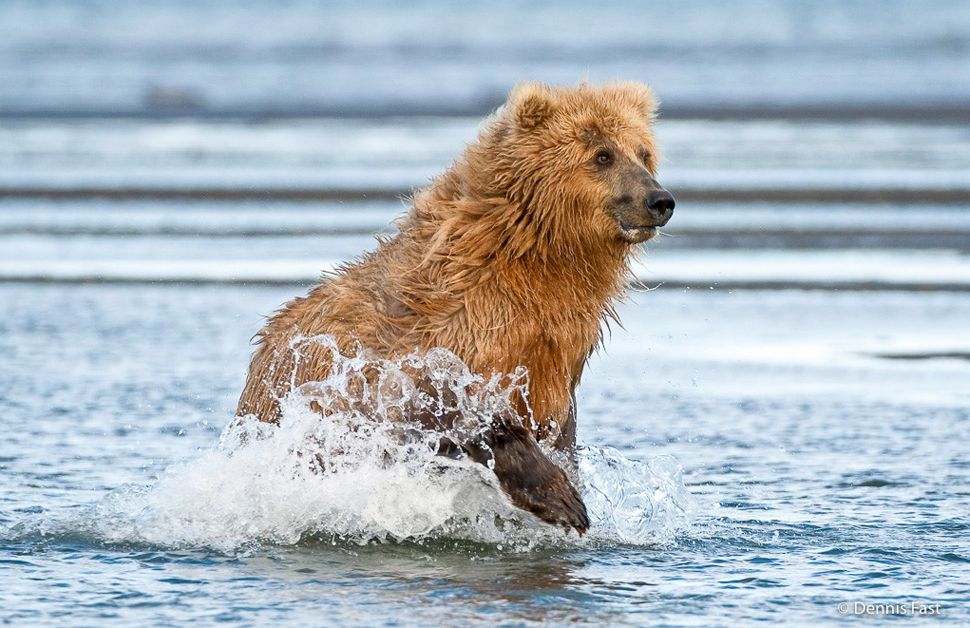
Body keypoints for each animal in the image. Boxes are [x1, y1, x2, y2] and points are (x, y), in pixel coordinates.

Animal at [234, 82, 672, 536]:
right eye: (602, 154)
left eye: (643, 152)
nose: (659, 200)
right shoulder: (440, 338)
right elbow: (455, 406)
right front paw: (562, 499)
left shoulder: (556, 353)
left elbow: (557, 422)